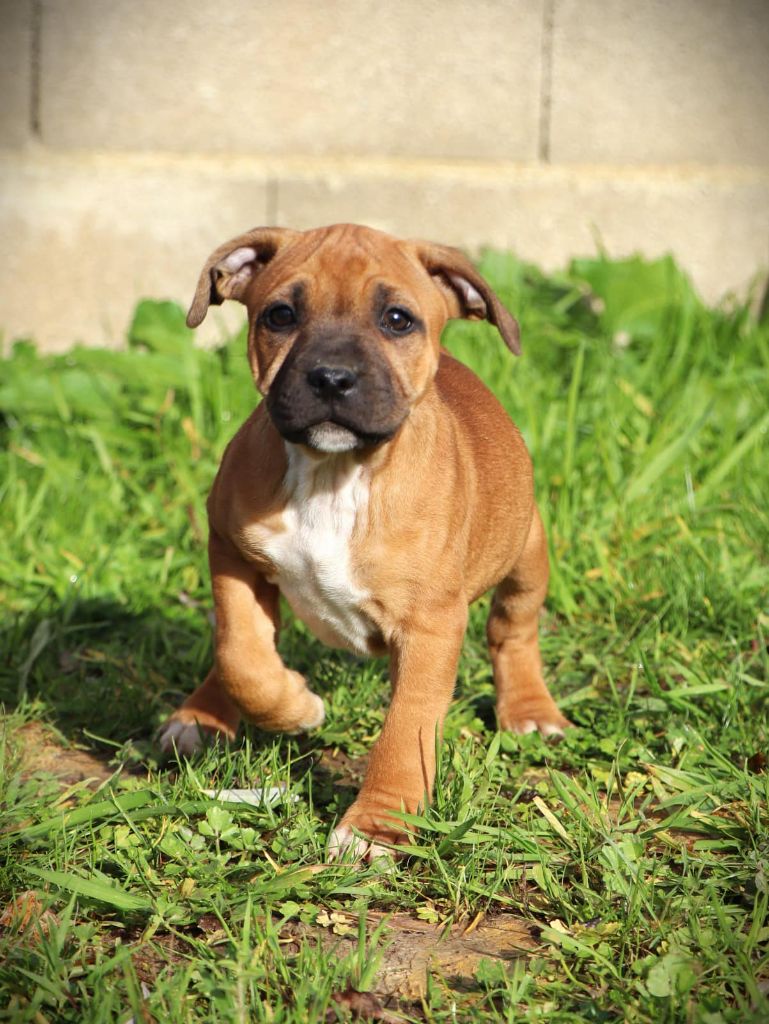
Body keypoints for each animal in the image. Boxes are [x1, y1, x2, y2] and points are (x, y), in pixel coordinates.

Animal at [159, 226, 569, 864]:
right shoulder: (231, 551)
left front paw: (378, 825)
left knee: (513, 628)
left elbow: (408, 727)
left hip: (527, 549)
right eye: (280, 315)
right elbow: (241, 654)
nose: (331, 377)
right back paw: (200, 716)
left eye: (397, 319)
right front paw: (295, 706)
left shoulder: (430, 628)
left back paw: (529, 711)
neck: (335, 475)